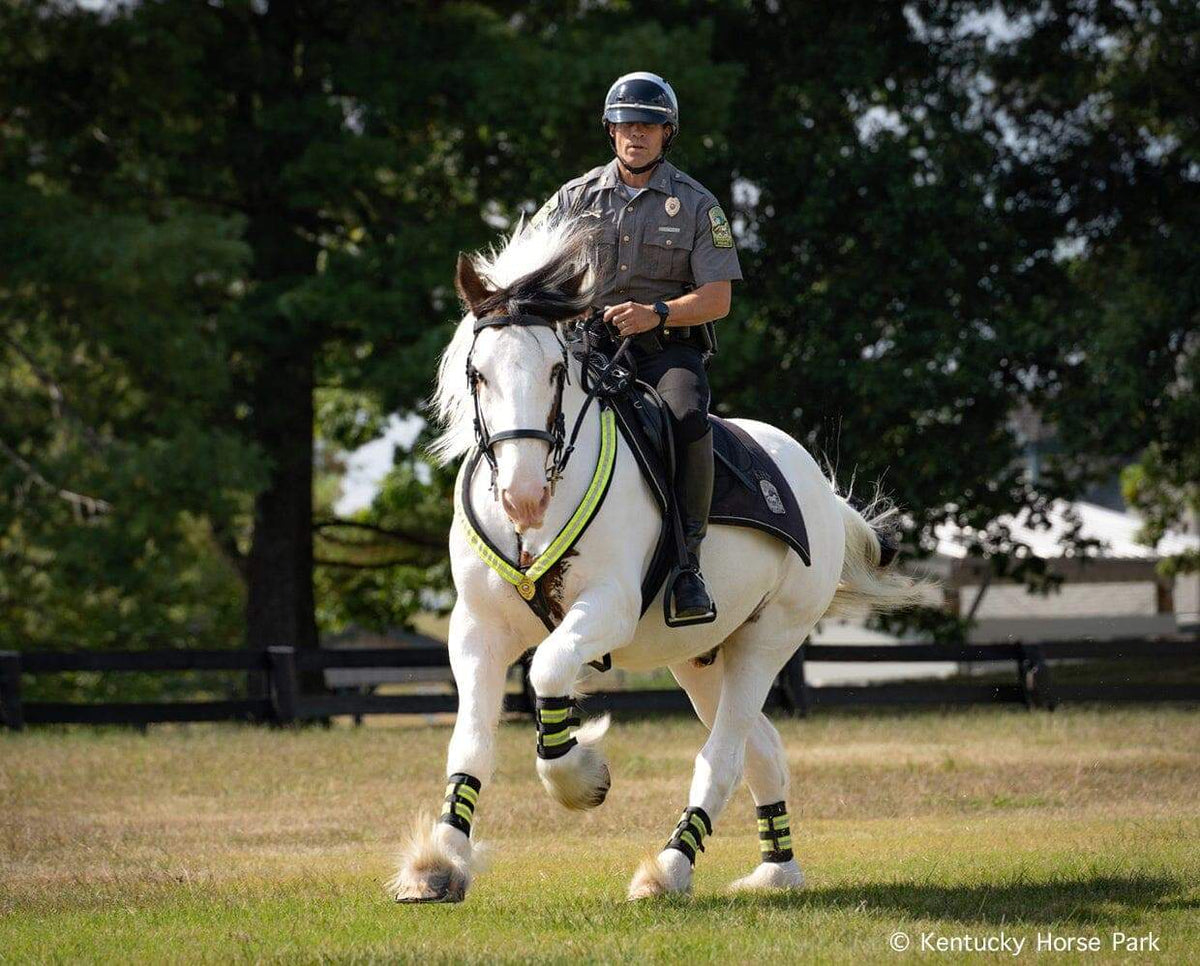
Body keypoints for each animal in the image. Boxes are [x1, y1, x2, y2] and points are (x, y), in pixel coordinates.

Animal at [389, 218, 930, 903]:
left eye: (556, 370)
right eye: (477, 373)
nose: (523, 497)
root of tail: (819, 491)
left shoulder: (608, 608)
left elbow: (548, 671)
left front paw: (582, 777)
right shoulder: (477, 629)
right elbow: (471, 744)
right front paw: (438, 864)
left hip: (768, 639)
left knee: (723, 756)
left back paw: (670, 868)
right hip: (703, 659)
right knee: (763, 750)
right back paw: (776, 871)